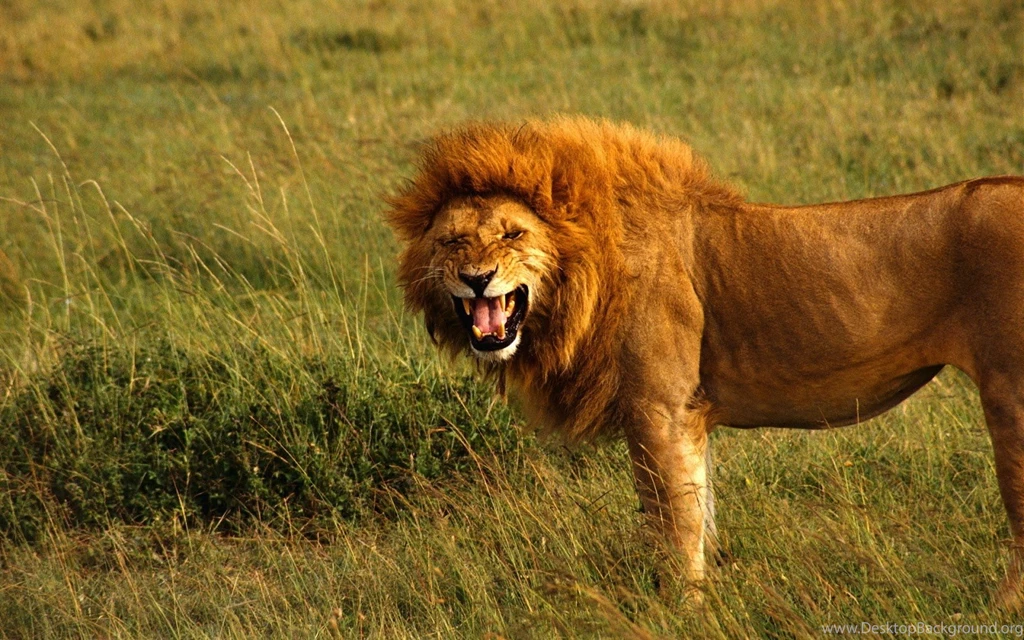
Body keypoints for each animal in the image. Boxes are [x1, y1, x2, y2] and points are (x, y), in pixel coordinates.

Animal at [385, 116, 1024, 607]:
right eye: (453, 242)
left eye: (513, 234)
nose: (477, 279)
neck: (584, 275)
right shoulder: (688, 416)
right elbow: (700, 512)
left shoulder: (659, 409)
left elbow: (673, 523)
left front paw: (680, 610)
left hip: (1010, 397)